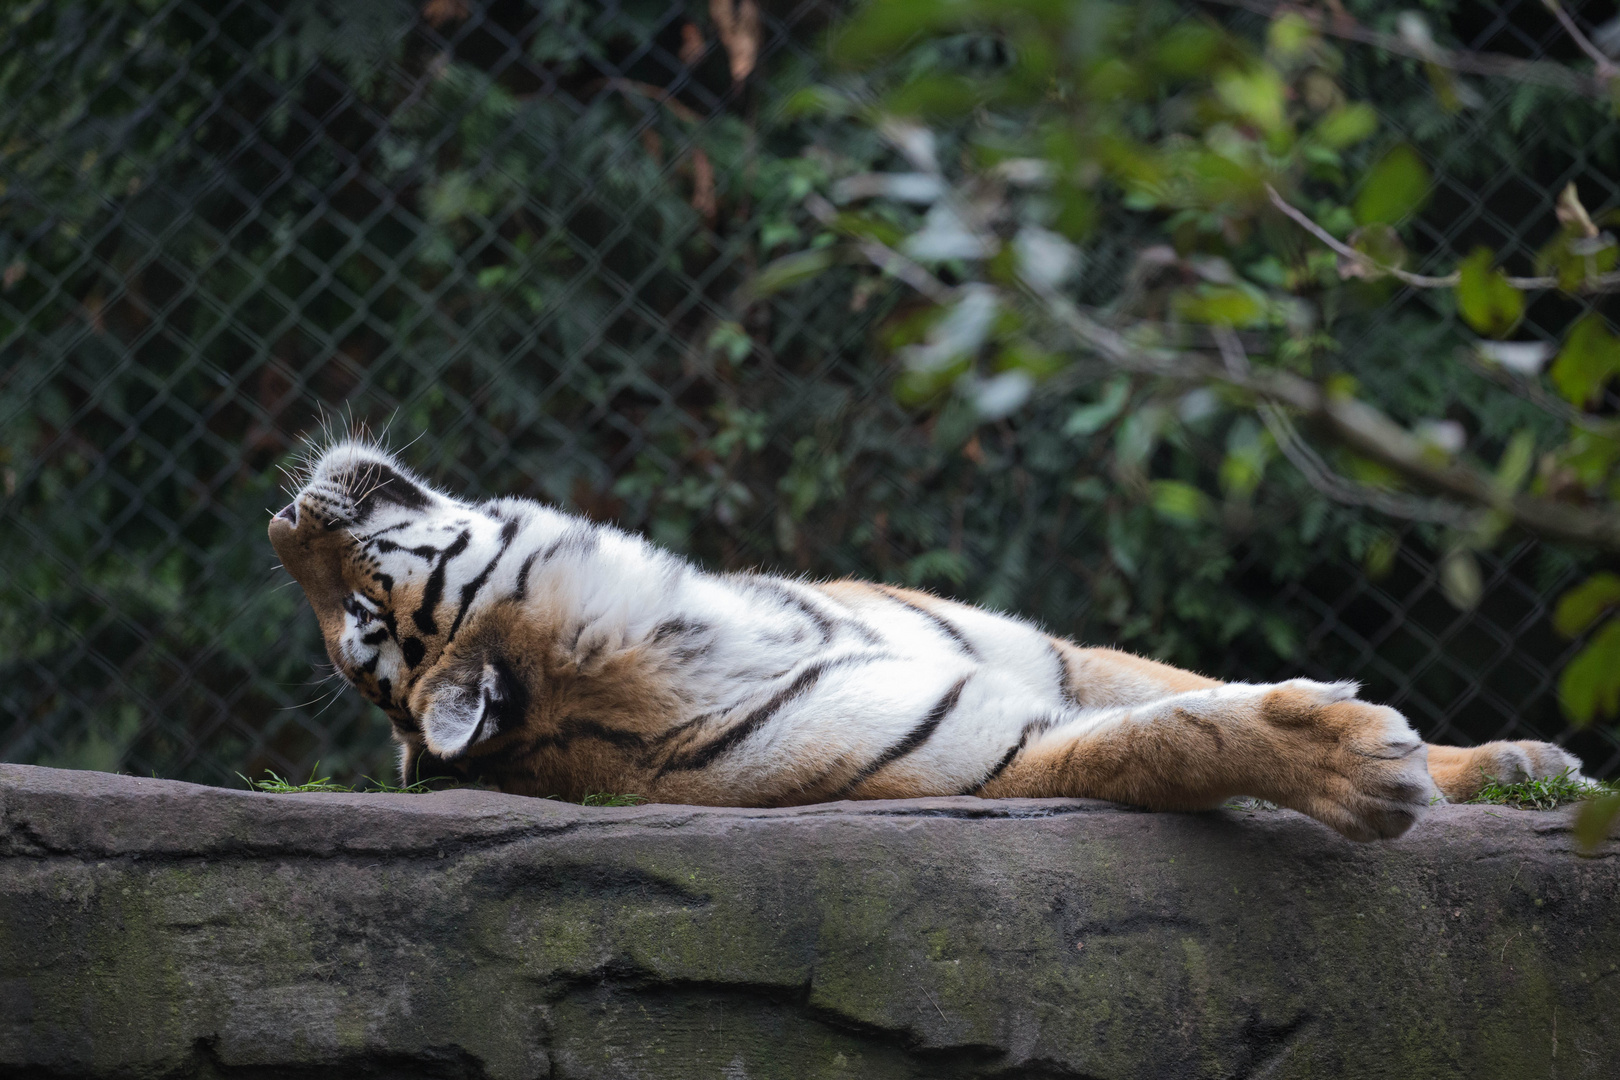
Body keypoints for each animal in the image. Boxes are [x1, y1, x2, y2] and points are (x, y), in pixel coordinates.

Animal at [272, 440, 1587, 841]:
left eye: (360, 610)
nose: (282, 519)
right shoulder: (992, 752)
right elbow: (1171, 738)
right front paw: (1362, 767)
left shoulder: (1052, 655)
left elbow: (1190, 681)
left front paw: (1513, 764)